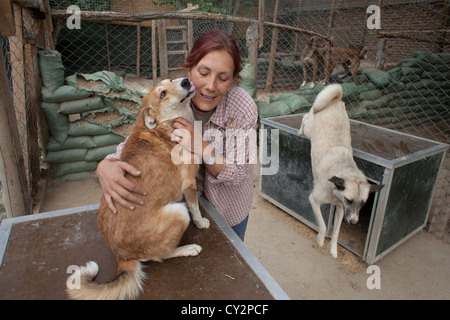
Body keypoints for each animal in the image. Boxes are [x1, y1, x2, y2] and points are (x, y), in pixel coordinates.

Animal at [66, 78, 209, 300]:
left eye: (170, 80)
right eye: (162, 94)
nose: (186, 81)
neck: (163, 127)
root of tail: (122, 257)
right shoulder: (189, 185)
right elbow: (195, 209)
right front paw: (201, 223)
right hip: (179, 212)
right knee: (161, 255)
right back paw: (188, 248)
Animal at [298, 84, 384, 258]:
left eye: (363, 203)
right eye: (349, 200)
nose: (353, 222)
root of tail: (336, 98)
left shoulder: (339, 209)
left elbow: (336, 232)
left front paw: (333, 250)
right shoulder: (313, 200)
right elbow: (323, 225)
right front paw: (320, 239)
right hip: (311, 128)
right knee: (305, 117)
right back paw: (299, 131)